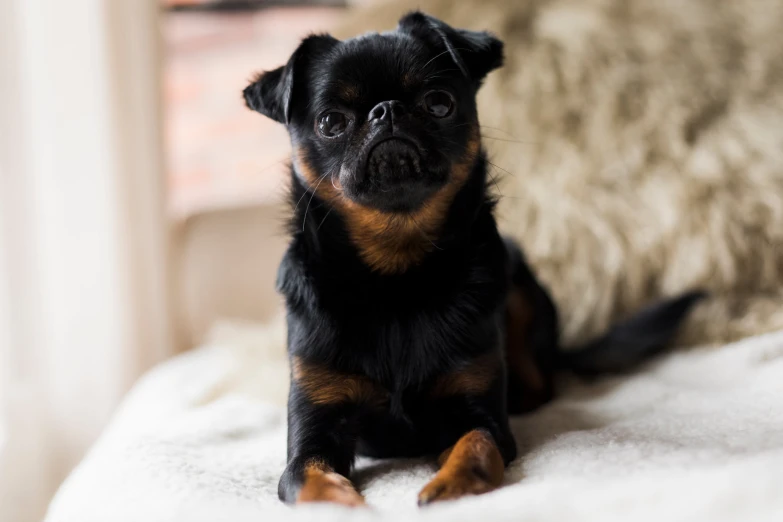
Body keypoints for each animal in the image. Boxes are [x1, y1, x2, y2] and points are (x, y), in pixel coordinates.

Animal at [243, 12, 704, 506]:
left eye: (439, 103)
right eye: (331, 122)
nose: (387, 110)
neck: (397, 279)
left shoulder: (477, 413)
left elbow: (477, 445)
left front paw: (451, 483)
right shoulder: (314, 432)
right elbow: (310, 482)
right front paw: (347, 505)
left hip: (518, 285)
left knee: (541, 382)